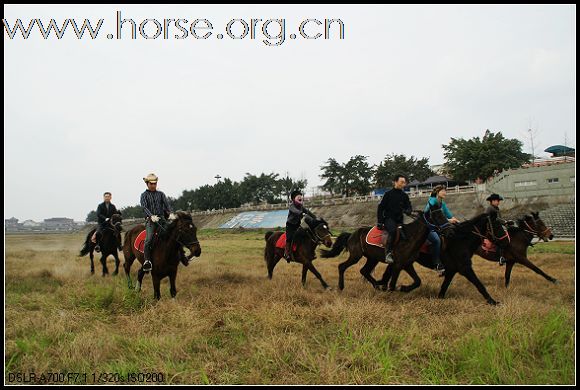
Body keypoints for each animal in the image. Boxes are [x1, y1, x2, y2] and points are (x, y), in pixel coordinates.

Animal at [322, 210, 454, 290]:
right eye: (437, 216)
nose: (450, 231)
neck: (410, 236)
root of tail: (351, 235)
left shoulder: (407, 264)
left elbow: (417, 281)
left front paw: (403, 288)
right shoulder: (398, 264)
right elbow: (392, 282)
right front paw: (395, 289)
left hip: (372, 258)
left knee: (364, 271)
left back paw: (376, 285)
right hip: (356, 256)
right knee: (342, 266)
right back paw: (341, 286)